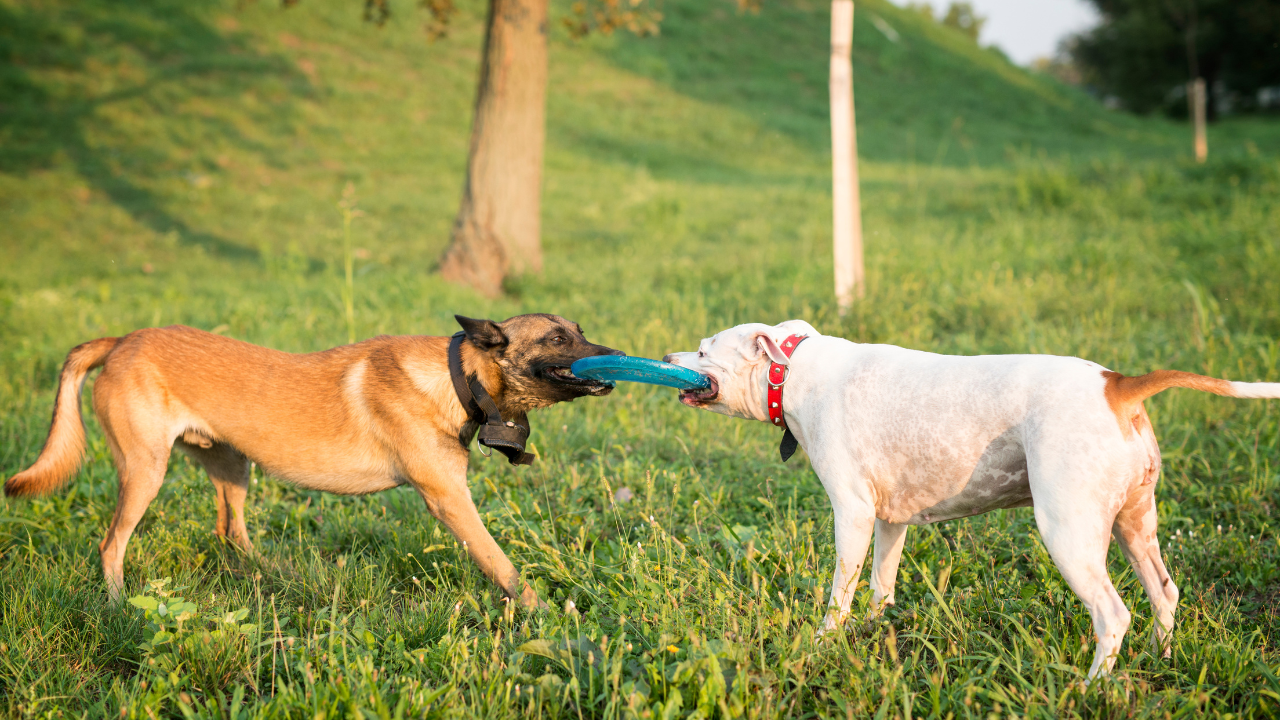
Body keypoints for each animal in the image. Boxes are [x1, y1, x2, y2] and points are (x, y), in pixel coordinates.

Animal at [3, 315, 624, 604]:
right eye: (556, 339)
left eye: (581, 330)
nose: (617, 355)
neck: (458, 376)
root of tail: (121, 340)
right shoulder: (450, 500)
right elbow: (503, 565)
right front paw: (547, 612)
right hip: (144, 472)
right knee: (111, 545)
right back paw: (118, 606)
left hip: (234, 468)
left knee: (232, 532)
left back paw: (278, 574)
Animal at [665, 320, 1274, 676]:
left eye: (702, 349)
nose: (667, 359)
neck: (791, 371)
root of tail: (1119, 384)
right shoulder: (889, 521)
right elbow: (881, 584)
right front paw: (874, 631)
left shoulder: (852, 514)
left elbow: (840, 592)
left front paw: (823, 643)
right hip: (1134, 524)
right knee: (1165, 593)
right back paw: (1159, 660)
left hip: (1068, 533)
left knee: (1112, 613)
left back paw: (1092, 689)